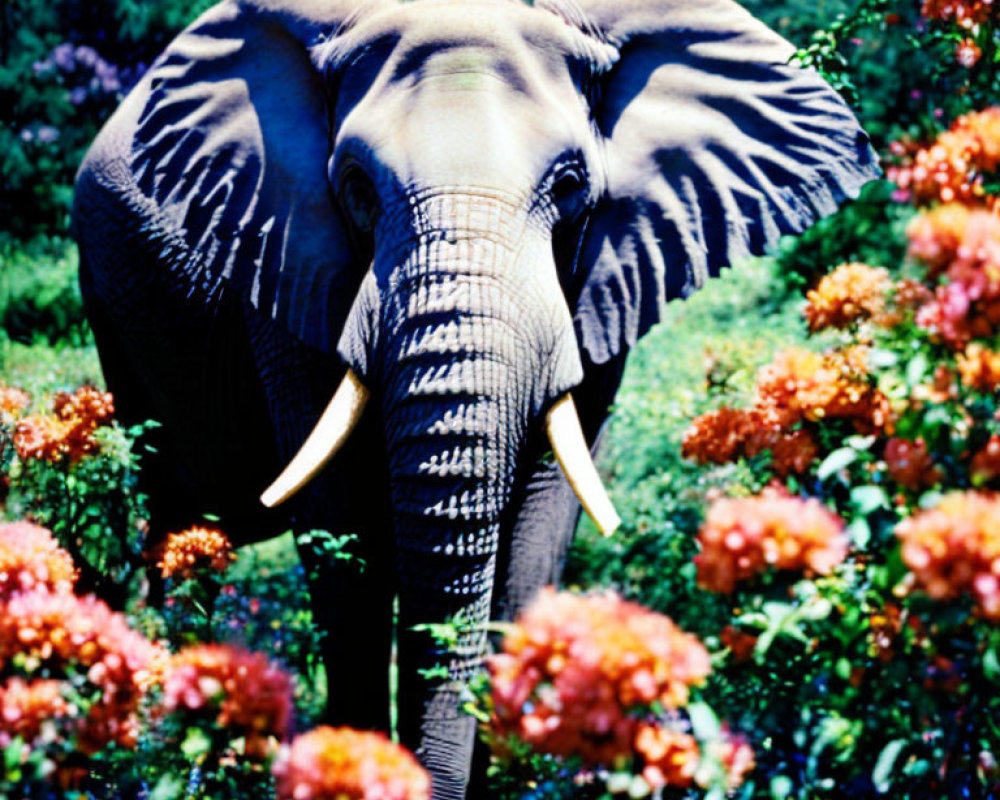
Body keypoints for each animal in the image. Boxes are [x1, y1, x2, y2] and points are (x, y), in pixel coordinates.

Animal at [72, 1, 876, 792]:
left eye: (570, 185)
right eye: (356, 186)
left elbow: (537, 532)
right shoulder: (285, 263)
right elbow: (345, 542)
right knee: (176, 524)